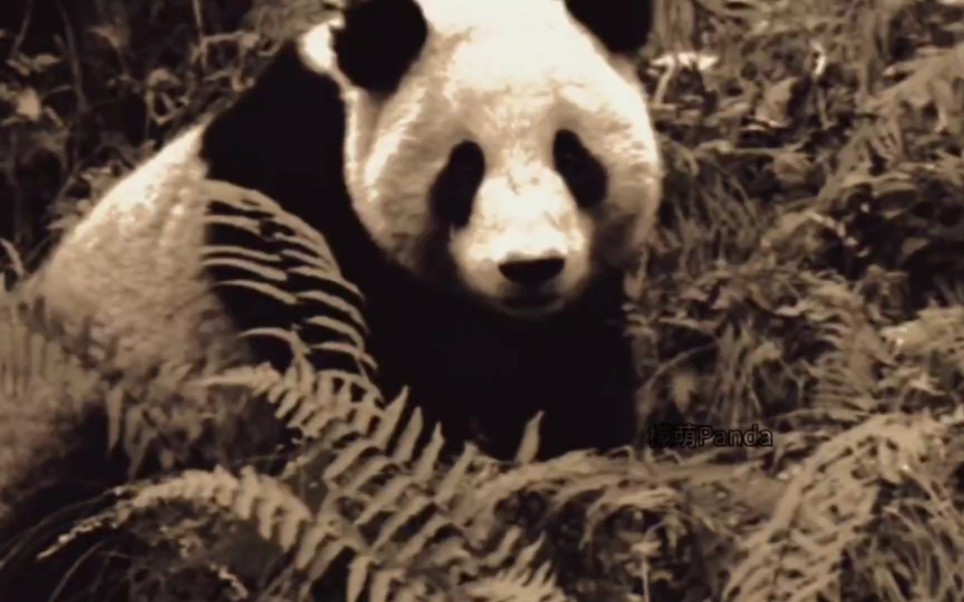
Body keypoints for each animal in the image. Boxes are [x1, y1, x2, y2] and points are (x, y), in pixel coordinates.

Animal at [30, 0, 664, 460]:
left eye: (572, 156)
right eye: (464, 168)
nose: (530, 267)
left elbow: (571, 379)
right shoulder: (294, 211)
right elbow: (364, 392)